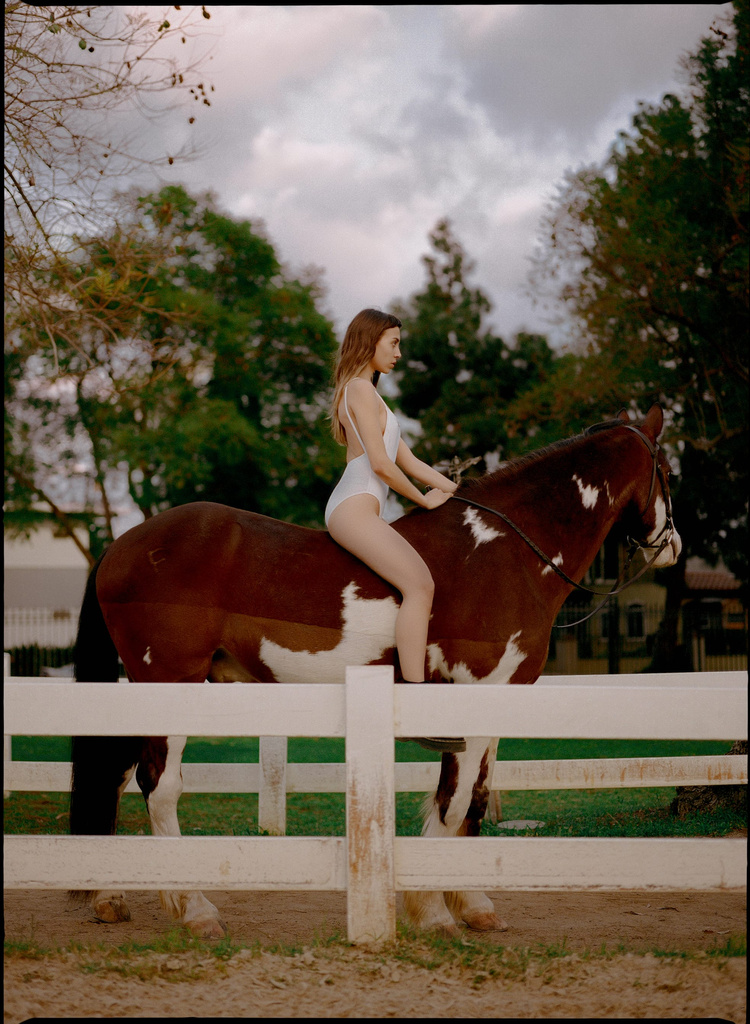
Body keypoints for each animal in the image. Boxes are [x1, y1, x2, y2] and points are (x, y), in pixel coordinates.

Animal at [69, 403, 681, 938]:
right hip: (170, 685)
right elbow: (453, 804)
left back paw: (109, 897)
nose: (672, 545)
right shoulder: (469, 699)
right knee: (159, 787)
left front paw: (474, 906)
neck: (505, 550)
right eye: (668, 471)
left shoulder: (493, 701)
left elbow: (475, 803)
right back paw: (195, 909)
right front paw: (434, 913)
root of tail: (122, 544)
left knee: (114, 776)